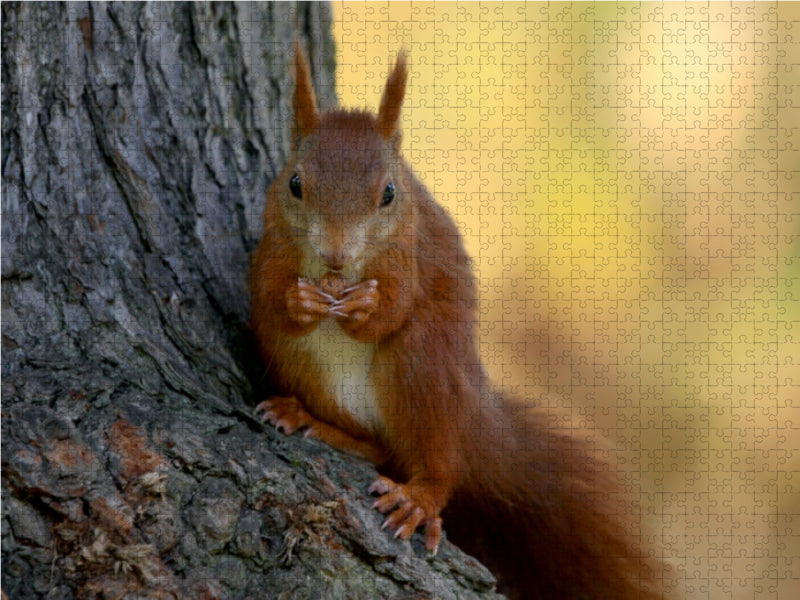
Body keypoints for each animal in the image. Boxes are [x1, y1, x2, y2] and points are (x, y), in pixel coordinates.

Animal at [252, 43, 668, 600]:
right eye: (295, 184)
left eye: (389, 193)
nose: (336, 256)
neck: (337, 276)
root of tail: (472, 420)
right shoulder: (273, 245)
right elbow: (268, 296)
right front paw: (299, 302)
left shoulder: (410, 254)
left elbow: (395, 307)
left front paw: (365, 308)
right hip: (300, 365)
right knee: (377, 446)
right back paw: (309, 420)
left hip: (423, 368)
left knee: (438, 464)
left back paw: (419, 498)